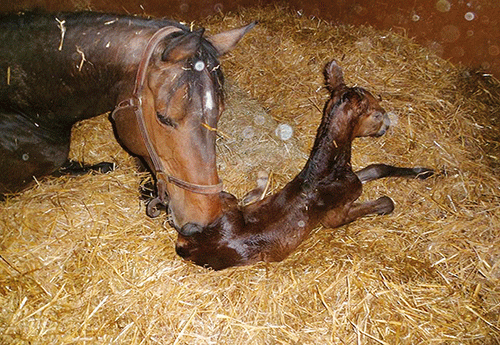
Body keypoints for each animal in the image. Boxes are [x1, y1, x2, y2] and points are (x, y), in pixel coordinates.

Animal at [175, 59, 430, 268]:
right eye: (376, 113)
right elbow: (386, 203)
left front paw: (425, 171)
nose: (386, 126)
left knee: (241, 199)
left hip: (226, 202)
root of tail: (185, 244)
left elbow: (376, 168)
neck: (324, 174)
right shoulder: (335, 217)